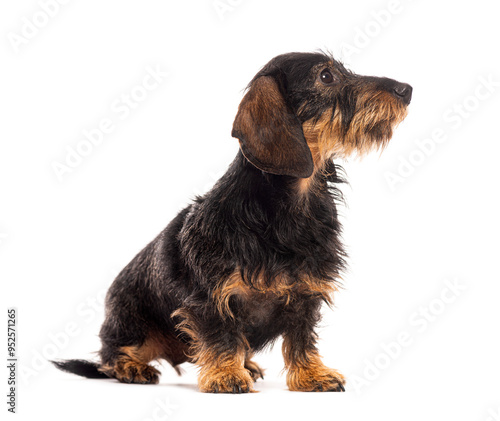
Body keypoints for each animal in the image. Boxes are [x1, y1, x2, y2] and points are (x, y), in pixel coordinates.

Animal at [51, 51, 410, 390]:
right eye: (326, 76)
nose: (406, 90)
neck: (290, 207)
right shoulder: (211, 297)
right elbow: (221, 336)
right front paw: (225, 375)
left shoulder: (305, 293)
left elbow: (301, 339)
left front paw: (312, 375)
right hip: (135, 327)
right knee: (112, 356)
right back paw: (133, 368)